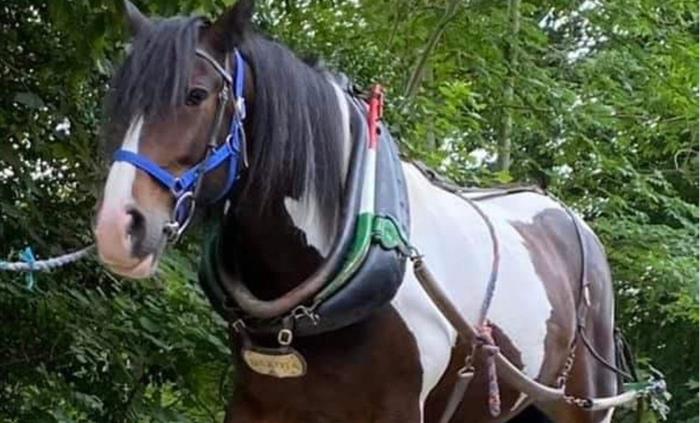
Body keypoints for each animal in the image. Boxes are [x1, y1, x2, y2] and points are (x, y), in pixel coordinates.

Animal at [93, 1, 621, 422]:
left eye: (196, 95)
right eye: (121, 100)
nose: (118, 227)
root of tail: (572, 222)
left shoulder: (398, 409)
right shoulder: (260, 403)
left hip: (583, 405)